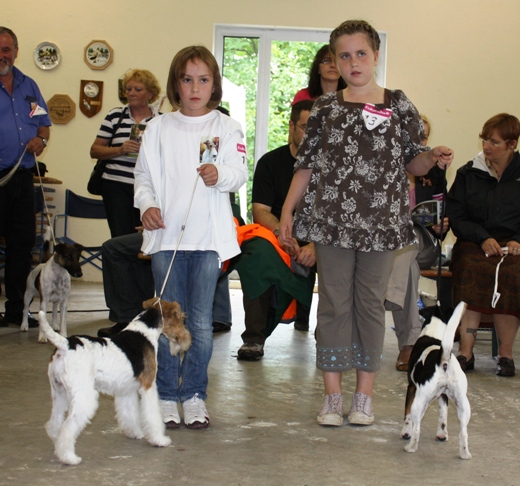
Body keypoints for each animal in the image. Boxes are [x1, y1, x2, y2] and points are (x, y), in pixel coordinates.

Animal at [39, 298, 191, 466]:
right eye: (181, 318)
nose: (187, 340)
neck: (145, 331)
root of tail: (65, 344)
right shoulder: (149, 386)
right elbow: (152, 415)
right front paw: (159, 440)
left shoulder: (127, 389)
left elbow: (129, 413)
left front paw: (134, 433)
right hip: (84, 396)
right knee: (68, 428)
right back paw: (69, 457)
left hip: (59, 393)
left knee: (55, 423)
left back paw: (57, 442)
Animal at [402, 300, 472, 460]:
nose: (459, 336)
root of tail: (444, 360)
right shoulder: (443, 395)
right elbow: (443, 415)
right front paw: (442, 435)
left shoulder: (411, 387)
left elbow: (407, 415)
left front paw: (405, 432)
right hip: (463, 404)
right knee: (463, 432)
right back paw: (464, 454)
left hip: (419, 402)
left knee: (416, 429)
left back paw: (411, 447)